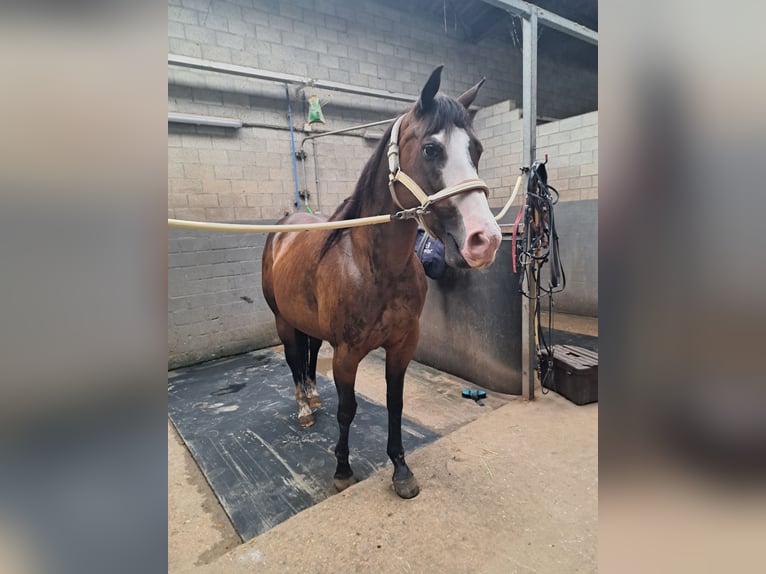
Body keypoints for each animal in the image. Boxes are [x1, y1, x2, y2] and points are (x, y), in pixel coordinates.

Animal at [264, 66, 504, 500]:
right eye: (430, 149)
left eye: (476, 149)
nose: (486, 240)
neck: (375, 268)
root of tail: (284, 225)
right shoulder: (346, 354)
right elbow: (347, 410)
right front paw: (342, 469)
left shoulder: (402, 346)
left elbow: (396, 404)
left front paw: (401, 470)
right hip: (283, 322)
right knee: (293, 361)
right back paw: (304, 407)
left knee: (308, 357)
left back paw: (313, 396)